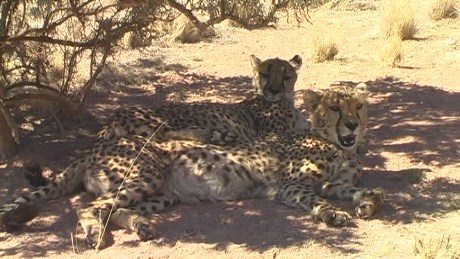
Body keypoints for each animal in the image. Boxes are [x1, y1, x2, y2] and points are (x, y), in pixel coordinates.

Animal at [0, 83, 384, 250]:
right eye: (334, 108)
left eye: (359, 106)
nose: (352, 125)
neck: (334, 143)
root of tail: (100, 141)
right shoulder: (294, 187)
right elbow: (319, 201)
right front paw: (334, 214)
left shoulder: (334, 182)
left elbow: (360, 190)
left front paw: (367, 201)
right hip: (145, 173)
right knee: (89, 206)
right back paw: (96, 235)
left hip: (163, 193)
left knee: (112, 209)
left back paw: (141, 225)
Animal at [96, 55, 306, 144]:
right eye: (265, 74)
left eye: (286, 77)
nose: (273, 91)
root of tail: (112, 117)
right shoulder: (271, 133)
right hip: (167, 117)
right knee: (164, 134)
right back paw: (216, 135)